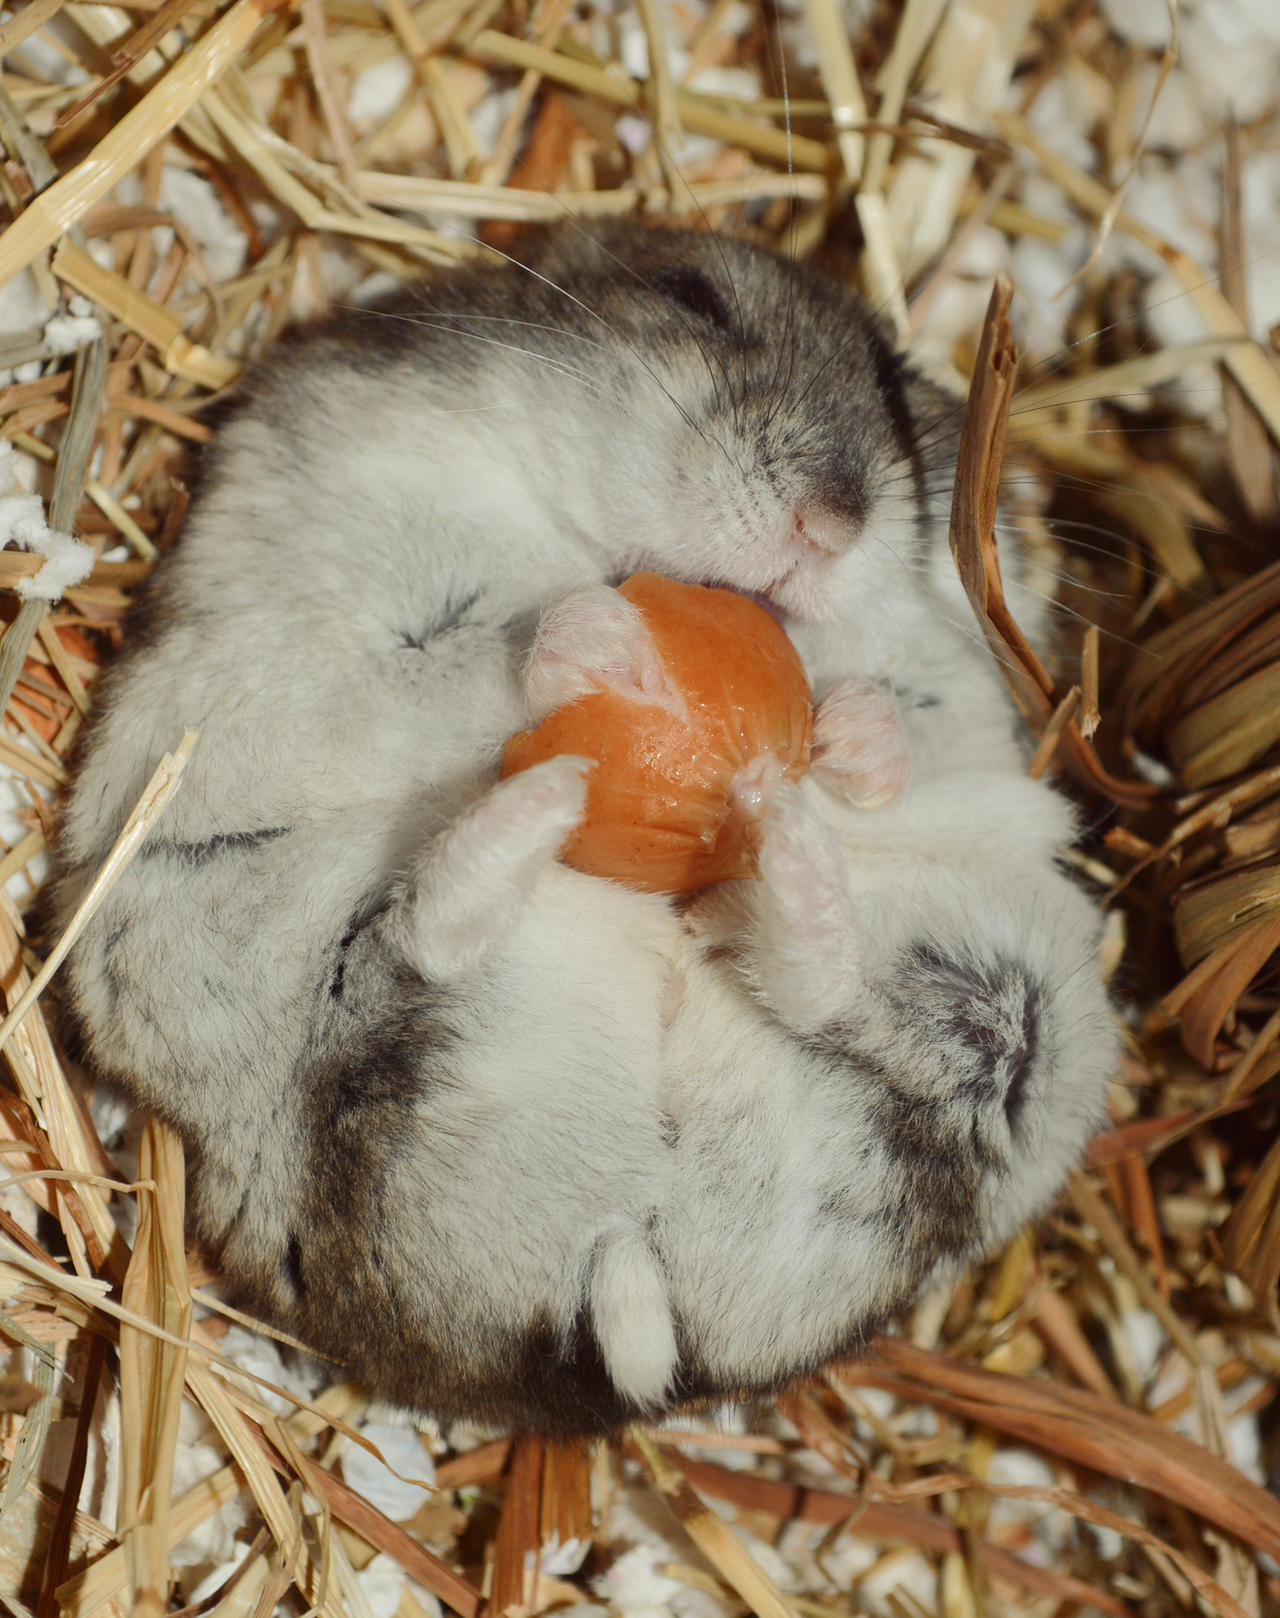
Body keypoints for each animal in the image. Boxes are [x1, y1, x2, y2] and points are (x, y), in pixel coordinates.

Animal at [51, 223, 1117, 1435]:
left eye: (899, 398)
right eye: (691, 298)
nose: (831, 524)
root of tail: (632, 1263)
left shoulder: (973, 726)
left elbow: (911, 731)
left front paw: (847, 729)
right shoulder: (323, 633)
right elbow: (485, 649)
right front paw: (611, 647)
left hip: (1030, 1011)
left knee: (832, 994)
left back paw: (769, 864)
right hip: (231, 967)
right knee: (411, 948)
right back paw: (553, 811)